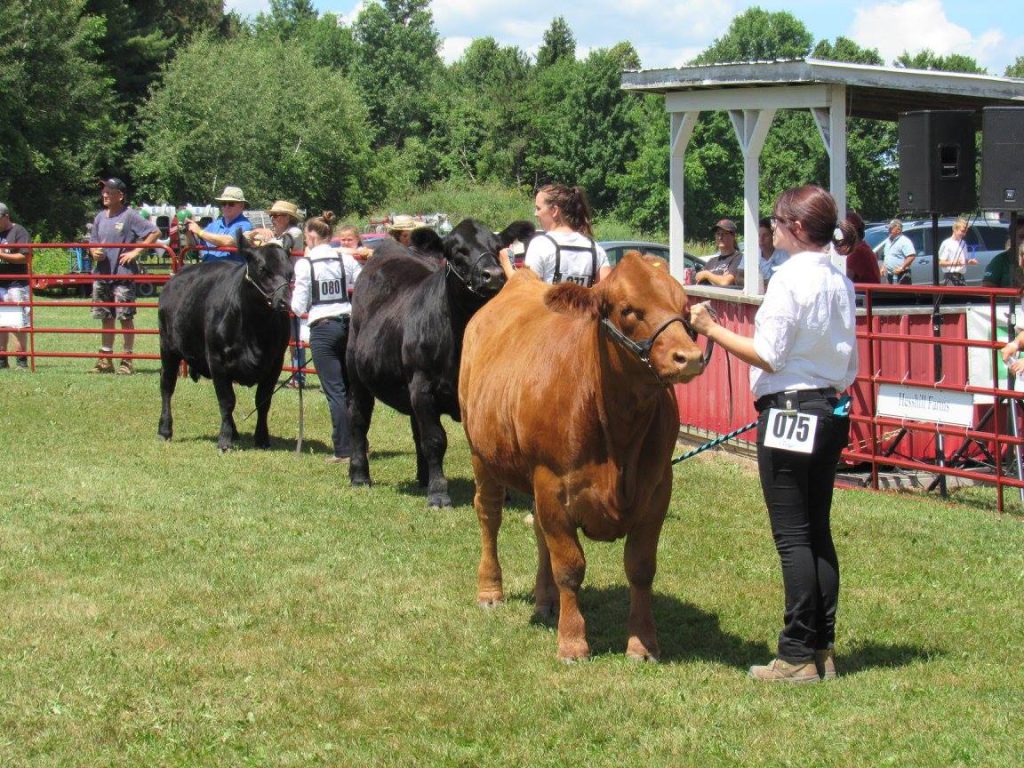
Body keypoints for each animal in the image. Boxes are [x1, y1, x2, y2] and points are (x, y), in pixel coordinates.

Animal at [157, 230, 294, 451]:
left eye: (290, 272)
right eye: (262, 269)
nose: (284, 302)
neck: (255, 328)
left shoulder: (275, 363)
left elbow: (263, 401)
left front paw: (262, 438)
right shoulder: (217, 361)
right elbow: (227, 400)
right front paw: (224, 440)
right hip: (167, 348)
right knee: (167, 386)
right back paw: (164, 430)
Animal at [346, 218, 535, 507]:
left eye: (498, 246)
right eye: (456, 252)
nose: (493, 274)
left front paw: (500, 495)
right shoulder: (423, 387)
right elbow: (435, 440)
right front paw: (438, 494)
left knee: (415, 430)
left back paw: (423, 477)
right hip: (357, 375)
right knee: (358, 420)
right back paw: (360, 475)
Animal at [458, 251, 707, 661]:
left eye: (684, 308)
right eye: (628, 309)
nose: (689, 357)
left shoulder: (657, 488)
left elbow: (641, 567)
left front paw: (643, 643)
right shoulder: (552, 483)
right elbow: (570, 567)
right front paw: (573, 642)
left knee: (538, 530)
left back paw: (545, 600)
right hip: (482, 453)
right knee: (489, 515)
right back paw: (490, 590)